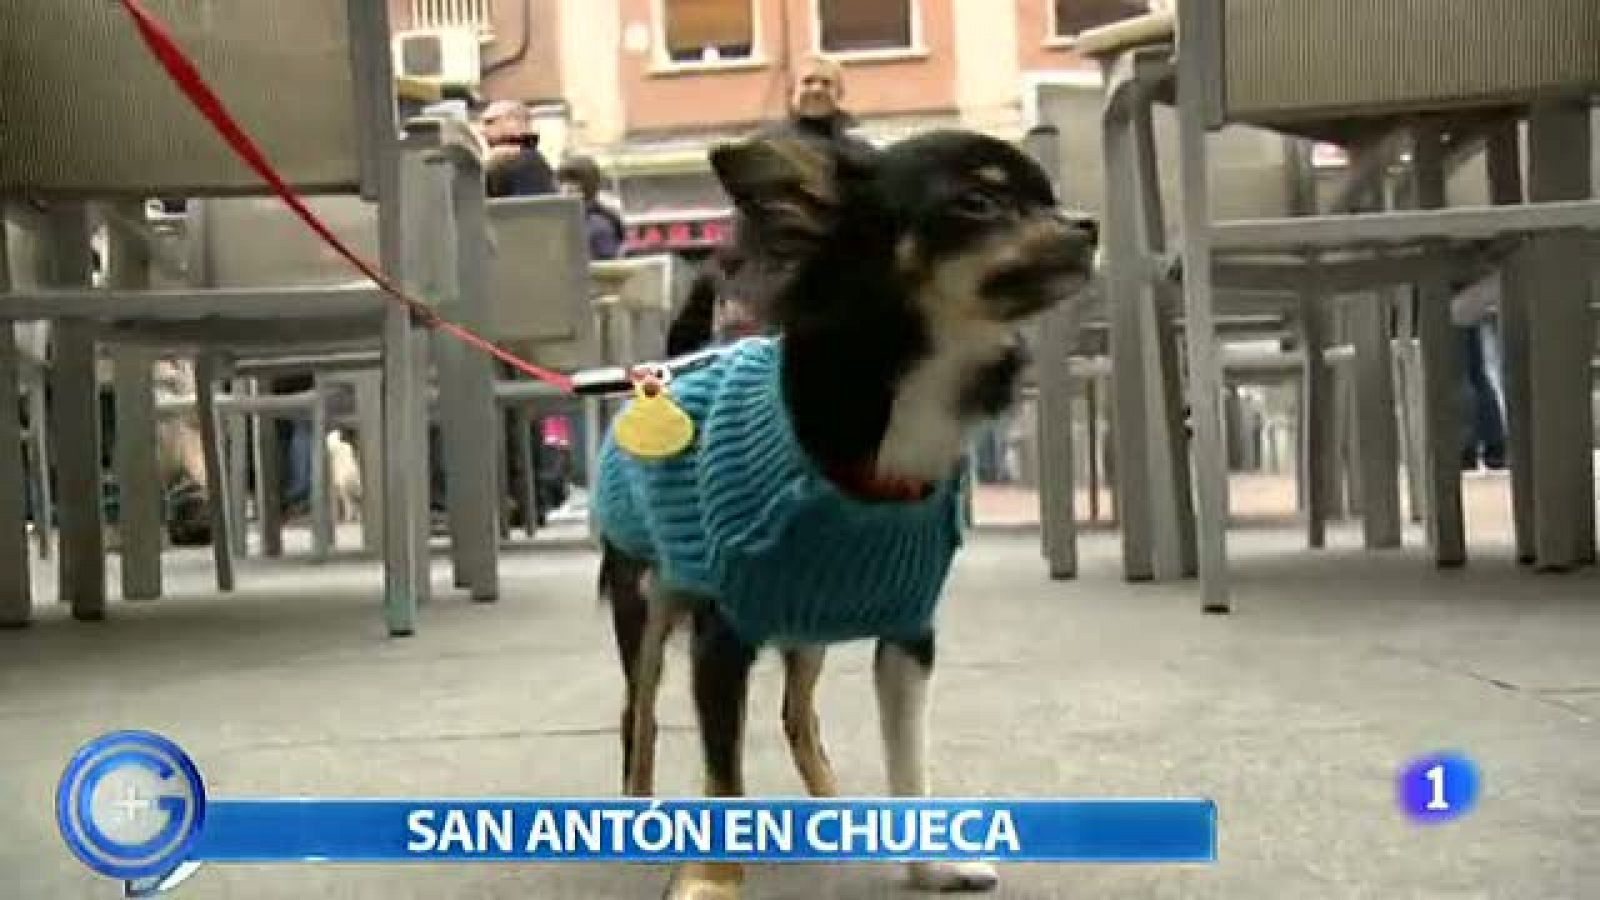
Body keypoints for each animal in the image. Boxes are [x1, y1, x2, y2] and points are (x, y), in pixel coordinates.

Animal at [595, 128, 1094, 896]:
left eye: (1050, 198)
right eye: (977, 203)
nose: (1087, 224)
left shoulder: (909, 638)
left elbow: (909, 761)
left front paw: (930, 862)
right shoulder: (720, 640)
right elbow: (722, 773)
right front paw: (713, 879)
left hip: (811, 627)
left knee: (796, 713)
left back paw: (835, 807)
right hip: (646, 602)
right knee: (639, 713)